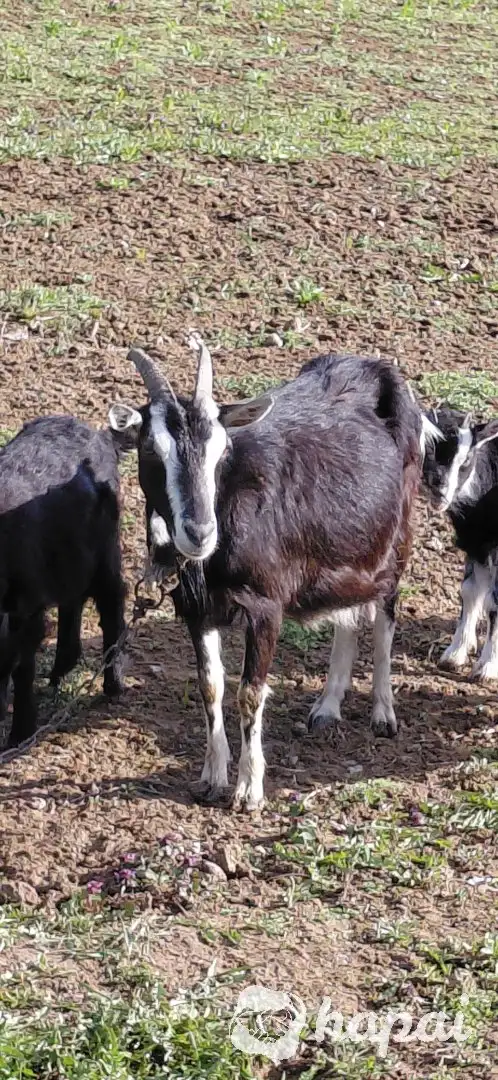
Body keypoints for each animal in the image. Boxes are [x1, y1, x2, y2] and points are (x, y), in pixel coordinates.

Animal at [0, 415, 127, 748]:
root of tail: (100, 436)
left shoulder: (27, 607)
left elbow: (23, 667)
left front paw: (20, 734)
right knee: (74, 600)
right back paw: (60, 669)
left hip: (105, 551)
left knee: (112, 604)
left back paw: (113, 685)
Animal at [109, 335, 424, 811]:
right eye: (151, 450)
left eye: (222, 450)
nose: (200, 532)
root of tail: (374, 368)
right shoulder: (197, 608)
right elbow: (211, 686)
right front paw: (212, 777)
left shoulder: (265, 606)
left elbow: (250, 692)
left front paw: (248, 790)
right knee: (348, 614)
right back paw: (327, 708)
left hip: (395, 539)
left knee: (384, 612)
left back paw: (383, 713)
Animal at [422, 403, 498, 679]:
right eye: (428, 447)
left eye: (466, 459)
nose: (440, 490)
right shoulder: (476, 543)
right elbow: (469, 590)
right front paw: (455, 653)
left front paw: (488, 666)